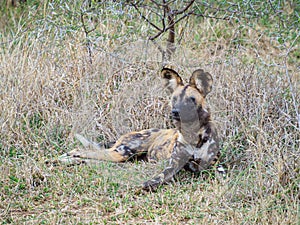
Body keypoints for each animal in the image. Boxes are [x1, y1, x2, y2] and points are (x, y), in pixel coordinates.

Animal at [61, 68, 220, 190]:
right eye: (174, 99)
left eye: (191, 99)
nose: (175, 112)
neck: (195, 135)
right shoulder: (173, 165)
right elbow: (158, 178)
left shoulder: (212, 167)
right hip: (122, 153)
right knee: (84, 151)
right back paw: (64, 157)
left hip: (123, 158)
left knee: (93, 159)